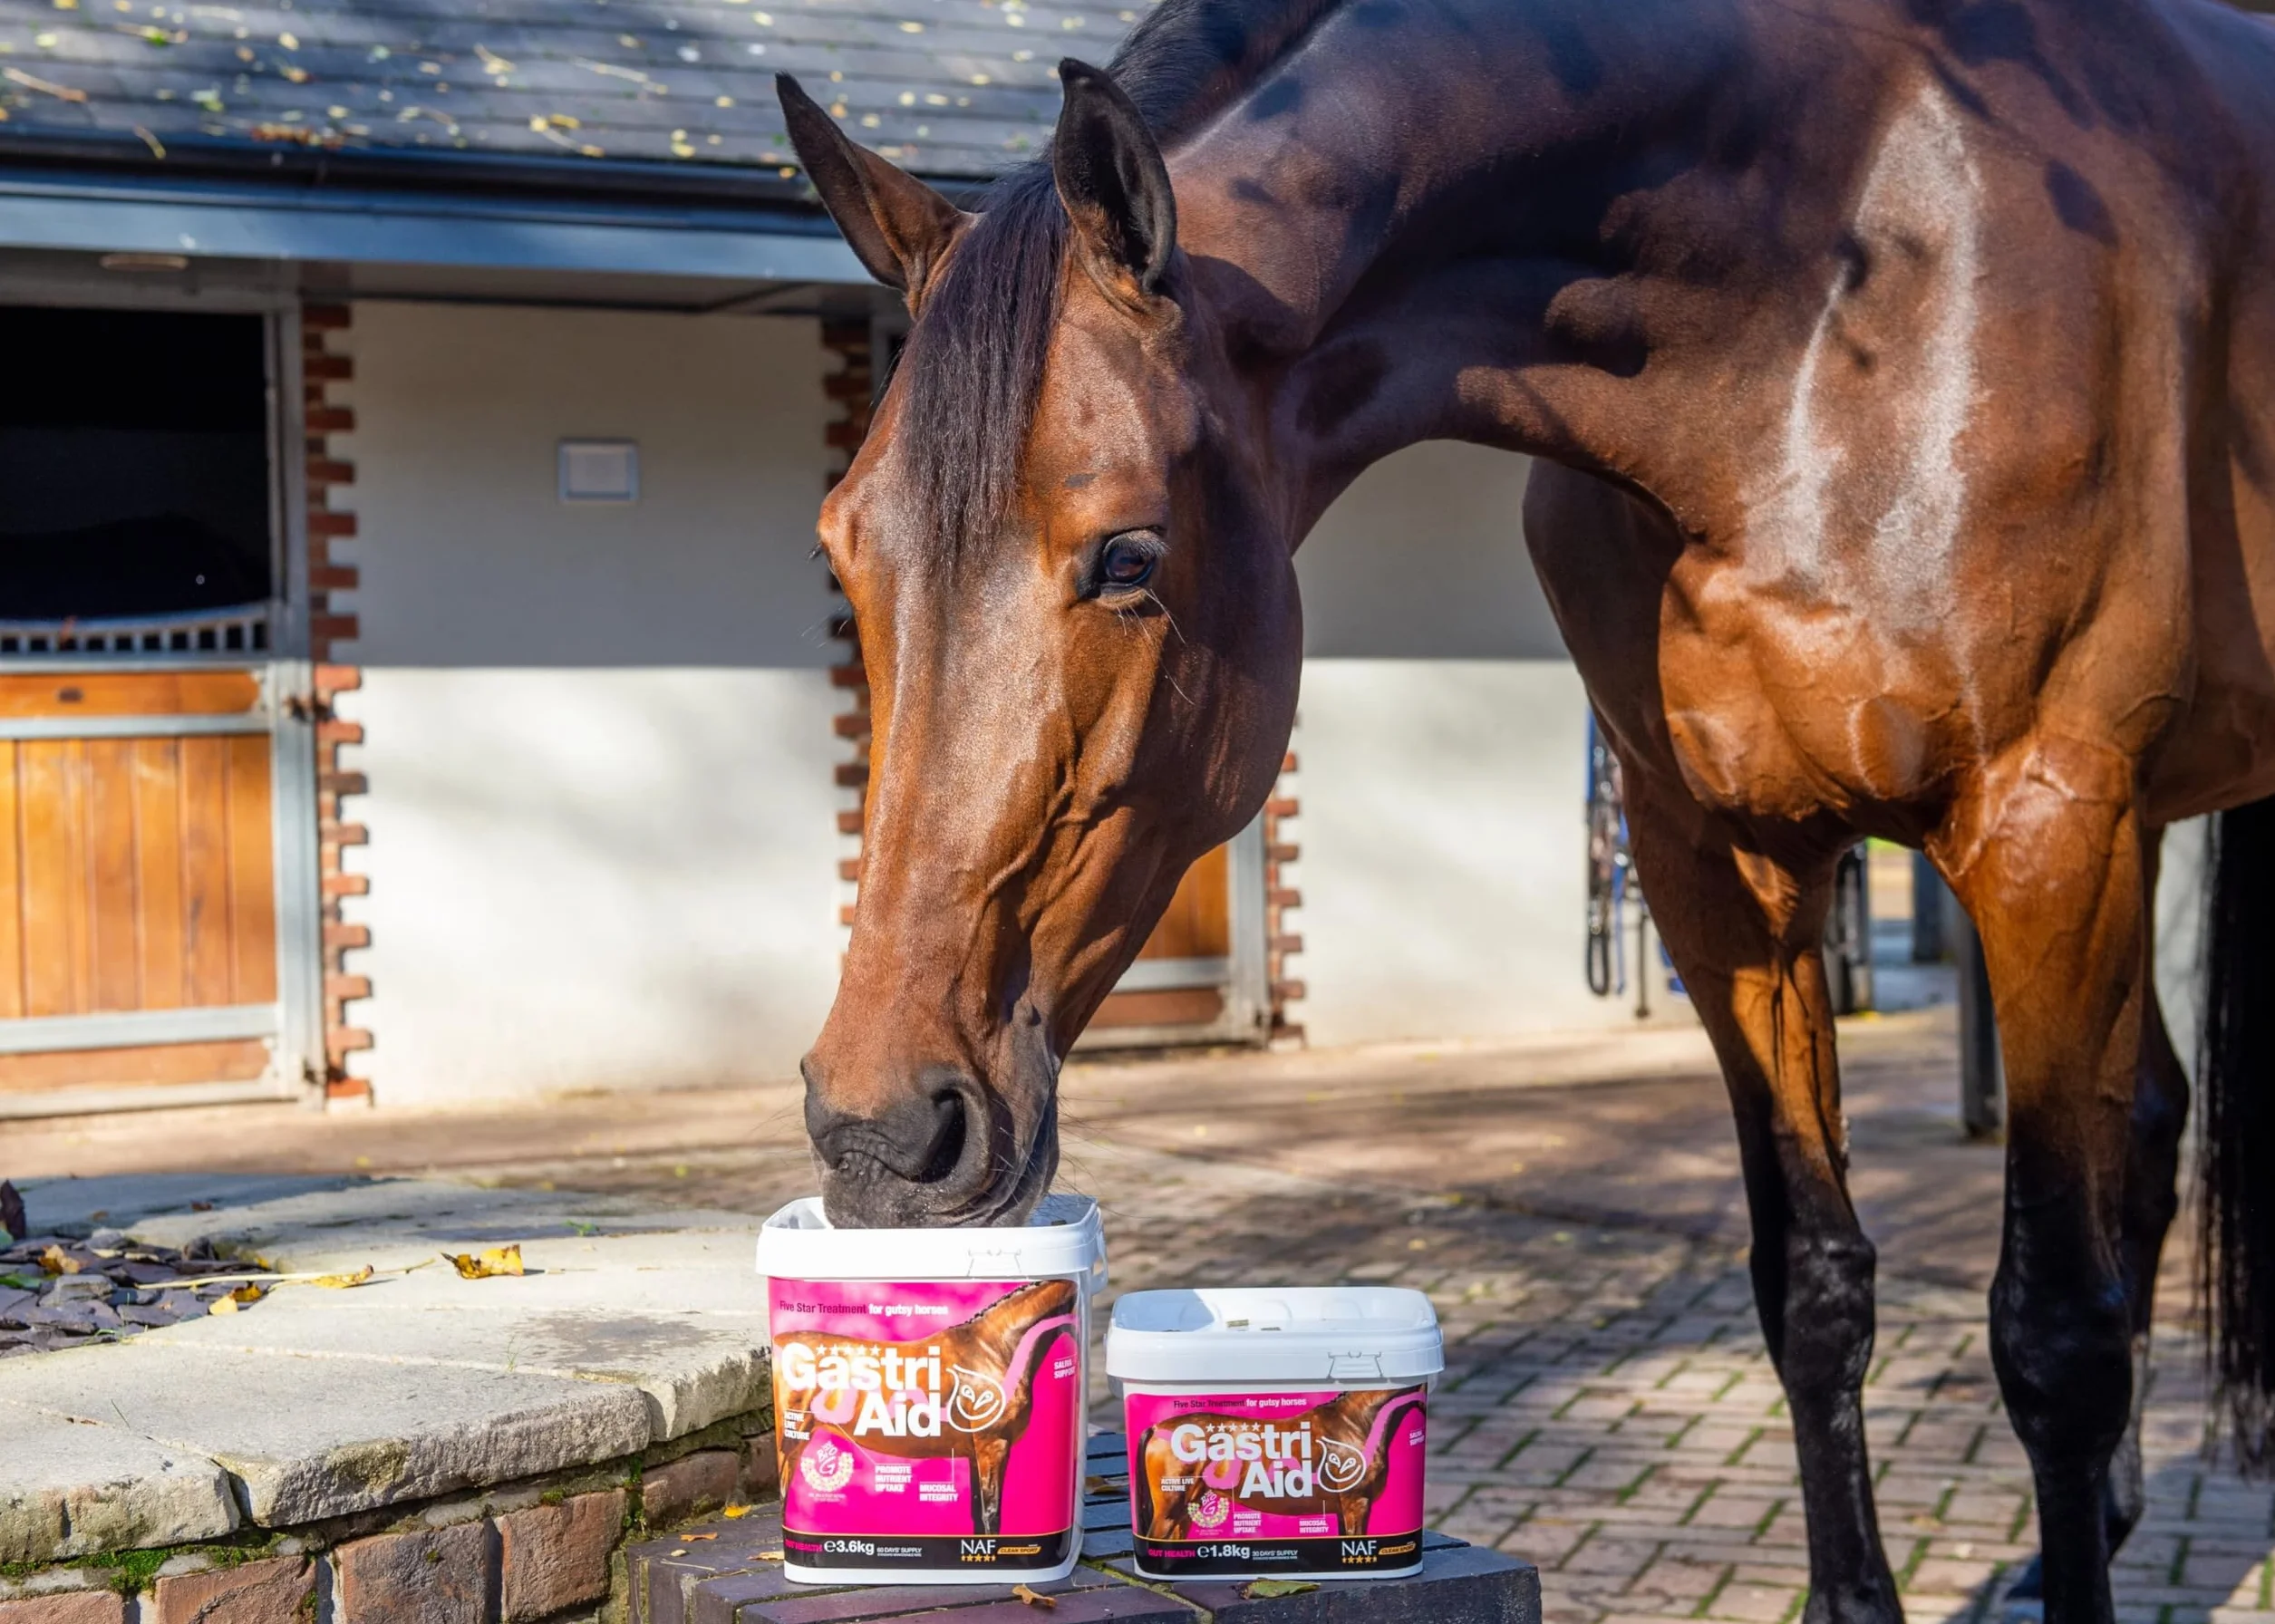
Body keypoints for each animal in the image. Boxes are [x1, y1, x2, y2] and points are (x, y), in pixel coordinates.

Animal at [773, 1279, 1079, 1536]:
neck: (995, 1350)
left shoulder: (974, 1452)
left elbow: (977, 1515)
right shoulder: (994, 1445)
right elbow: (991, 1514)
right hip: (790, 1441)